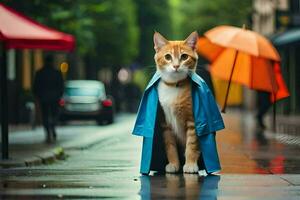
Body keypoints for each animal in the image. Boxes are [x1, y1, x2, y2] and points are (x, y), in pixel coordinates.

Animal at [154, 31, 200, 173]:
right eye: (167, 57)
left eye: (184, 56)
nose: (175, 66)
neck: (174, 86)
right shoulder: (165, 123)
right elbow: (170, 145)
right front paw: (174, 163)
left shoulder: (193, 121)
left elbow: (191, 144)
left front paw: (190, 164)